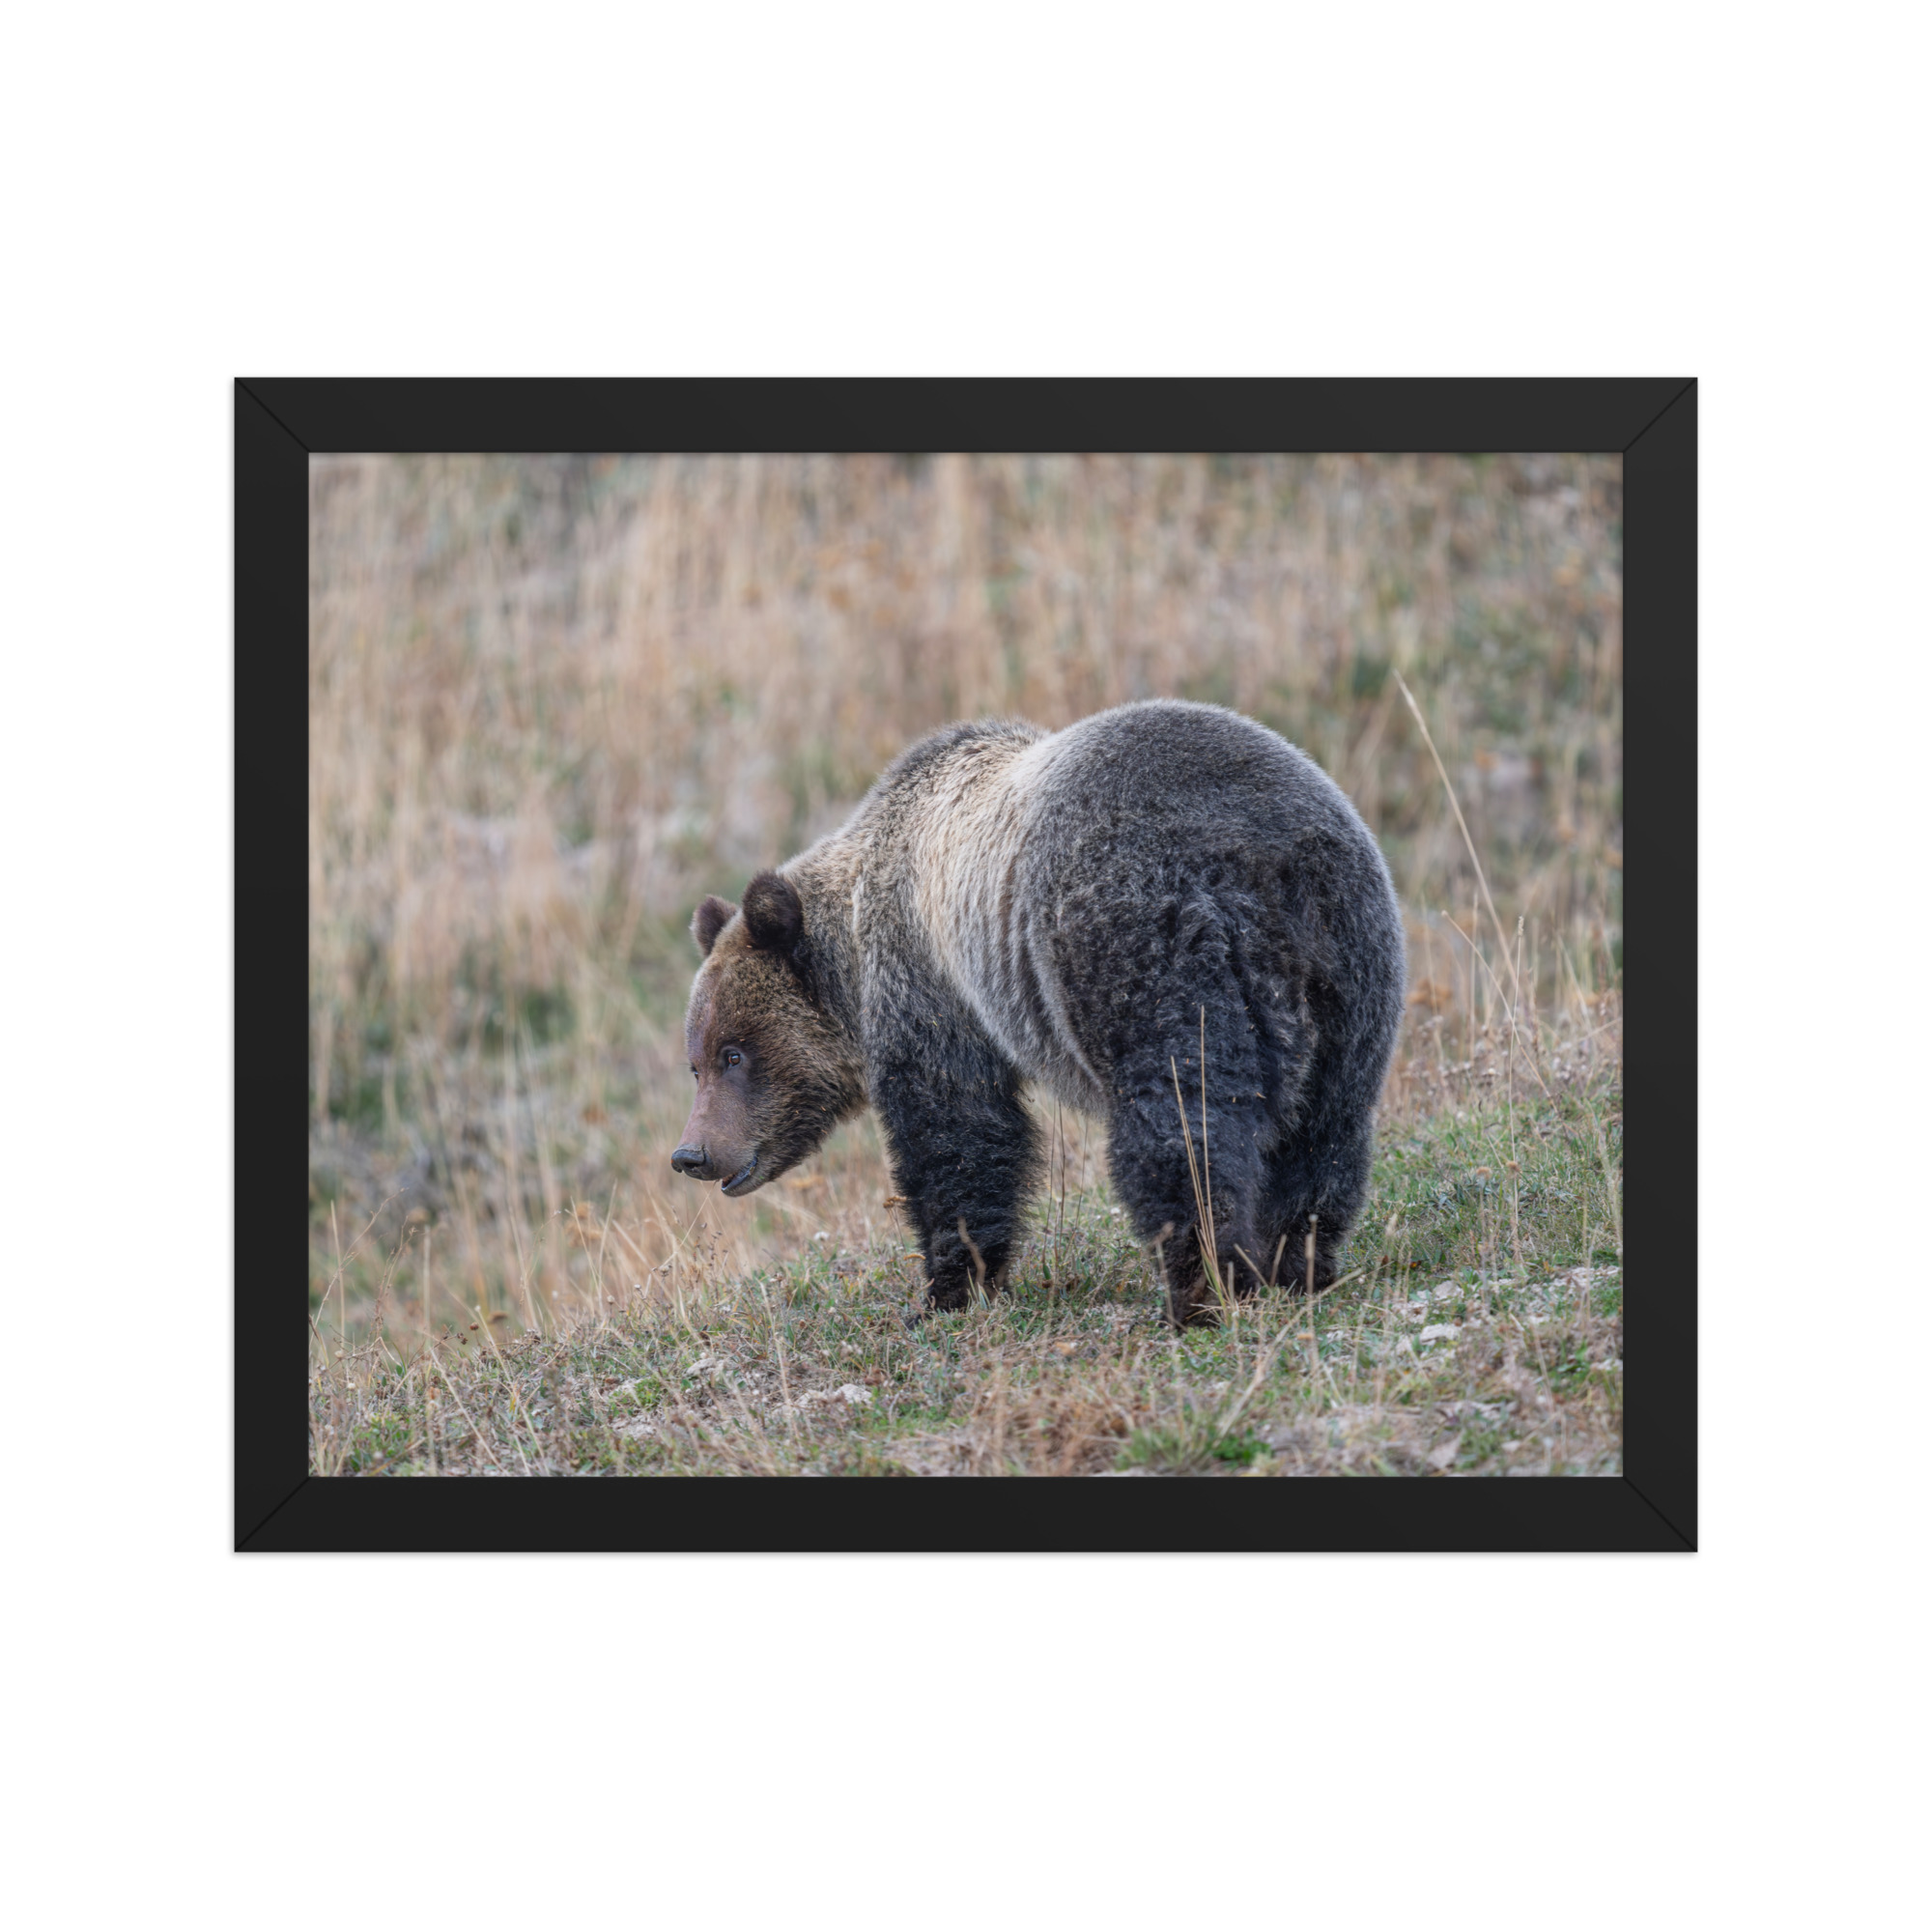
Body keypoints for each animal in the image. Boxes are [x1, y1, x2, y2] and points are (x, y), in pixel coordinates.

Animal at [672, 698, 1405, 1326]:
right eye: (696, 1062)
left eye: (734, 1053)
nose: (692, 1153)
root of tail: (1261, 859)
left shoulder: (931, 984)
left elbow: (958, 1132)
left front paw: (947, 1289)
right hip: (1350, 964)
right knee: (1325, 1128)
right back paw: (1297, 1263)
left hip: (1142, 943)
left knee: (1182, 1123)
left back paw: (1201, 1288)